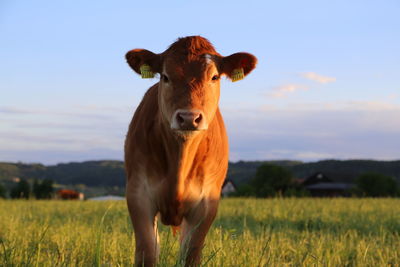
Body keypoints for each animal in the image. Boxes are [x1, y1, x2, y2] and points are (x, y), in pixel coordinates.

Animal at [124, 36, 256, 267]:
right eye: (165, 77)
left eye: (214, 77)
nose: (188, 117)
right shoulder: (137, 194)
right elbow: (148, 252)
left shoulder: (206, 203)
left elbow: (191, 254)